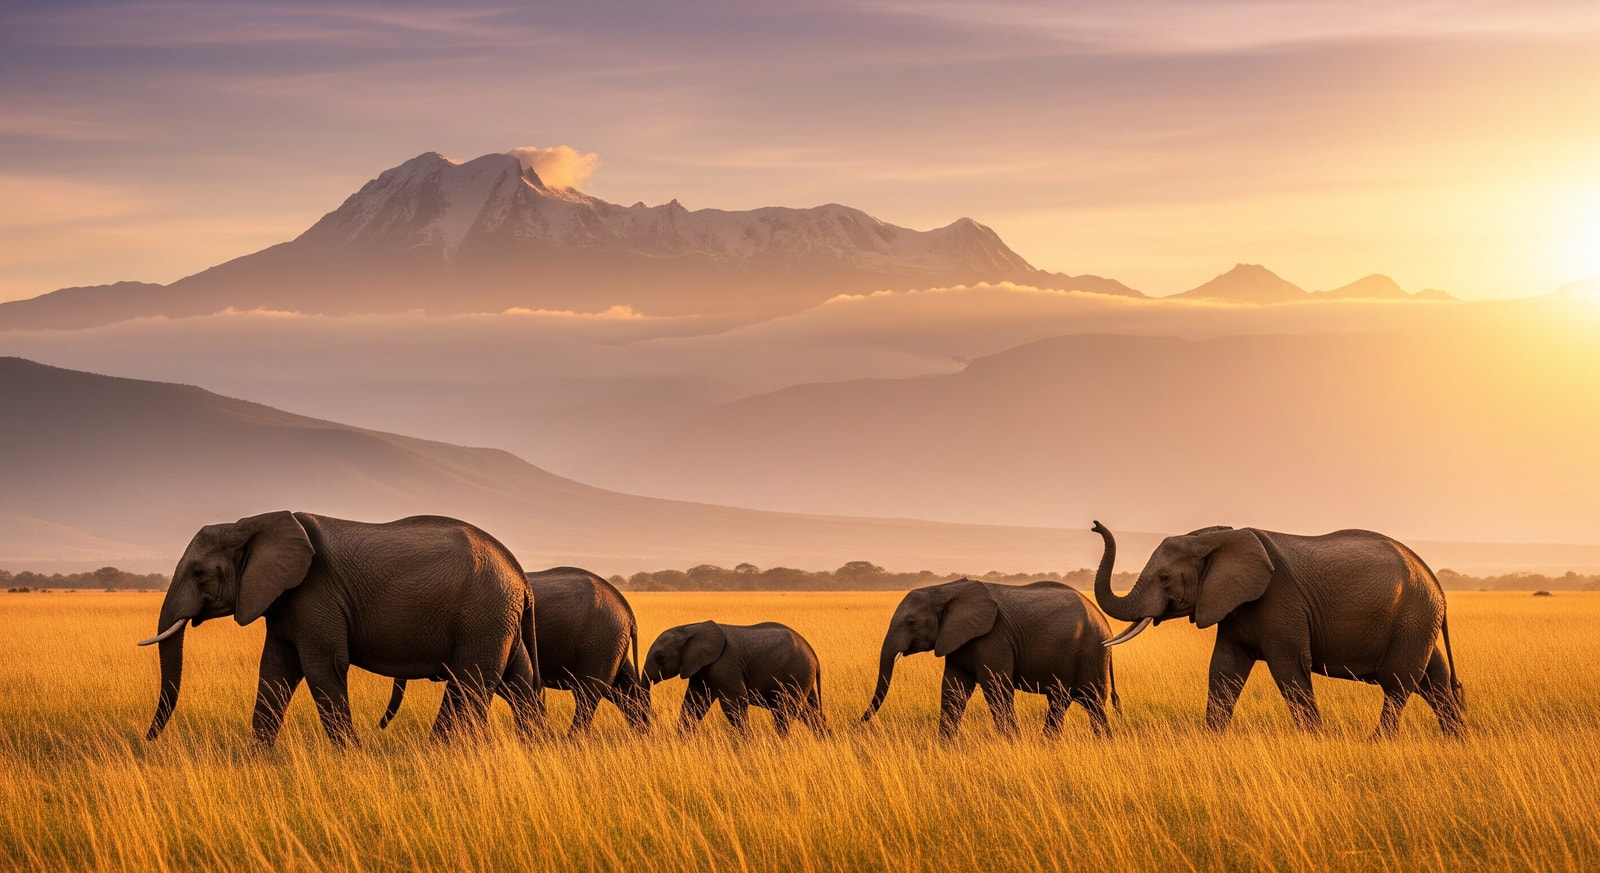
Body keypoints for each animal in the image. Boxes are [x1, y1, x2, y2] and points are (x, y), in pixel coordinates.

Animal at [138, 511, 544, 746]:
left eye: (198, 574)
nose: (146, 741)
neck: (249, 525)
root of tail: (520, 576)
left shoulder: (316, 593)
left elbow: (323, 667)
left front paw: (352, 758)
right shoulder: (284, 599)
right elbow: (275, 670)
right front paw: (256, 760)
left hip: (483, 616)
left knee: (468, 683)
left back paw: (439, 753)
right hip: (500, 620)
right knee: (518, 681)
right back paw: (535, 749)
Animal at [378, 566, 649, 734]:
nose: (379, 725)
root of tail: (628, 612)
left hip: (600, 643)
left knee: (588, 693)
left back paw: (573, 741)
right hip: (611, 644)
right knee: (623, 690)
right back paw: (645, 736)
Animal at [641, 621, 826, 737]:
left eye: (660, 657)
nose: (652, 716)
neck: (692, 627)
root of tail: (815, 657)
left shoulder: (725, 665)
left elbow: (735, 703)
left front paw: (747, 743)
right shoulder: (701, 670)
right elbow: (694, 703)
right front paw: (680, 740)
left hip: (796, 674)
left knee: (785, 711)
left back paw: (778, 743)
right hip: (802, 677)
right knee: (810, 712)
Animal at [861, 578, 1119, 738]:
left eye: (911, 622)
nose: (857, 723)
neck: (946, 590)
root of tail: (1104, 620)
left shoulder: (993, 636)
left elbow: (996, 686)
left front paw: (1012, 743)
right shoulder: (957, 638)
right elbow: (953, 688)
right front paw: (944, 746)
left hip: (1092, 652)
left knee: (1092, 700)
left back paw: (1101, 743)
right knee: (1060, 699)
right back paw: (1049, 743)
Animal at [1090, 520, 1464, 737]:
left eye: (1165, 578)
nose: (1095, 526)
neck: (1214, 537)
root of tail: (1435, 581)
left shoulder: (1280, 602)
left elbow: (1289, 668)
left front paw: (1314, 740)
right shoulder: (1232, 606)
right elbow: (1223, 669)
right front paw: (1210, 740)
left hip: (1413, 618)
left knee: (1399, 682)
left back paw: (1378, 742)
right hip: (1418, 622)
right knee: (1434, 680)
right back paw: (1456, 739)